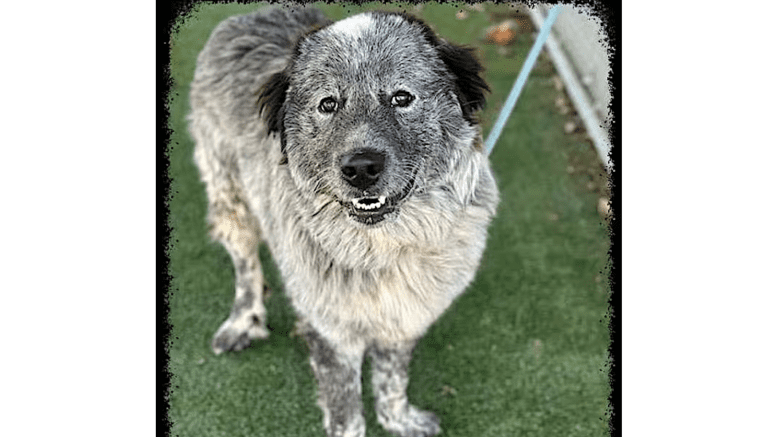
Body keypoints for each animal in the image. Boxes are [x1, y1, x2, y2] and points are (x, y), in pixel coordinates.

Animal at [189, 7, 498, 436]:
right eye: (328, 104)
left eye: (402, 97)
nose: (361, 168)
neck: (383, 246)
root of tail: (253, 14)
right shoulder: (331, 334)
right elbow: (347, 416)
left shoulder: (404, 316)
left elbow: (392, 380)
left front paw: (400, 420)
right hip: (230, 198)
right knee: (246, 266)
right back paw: (242, 321)